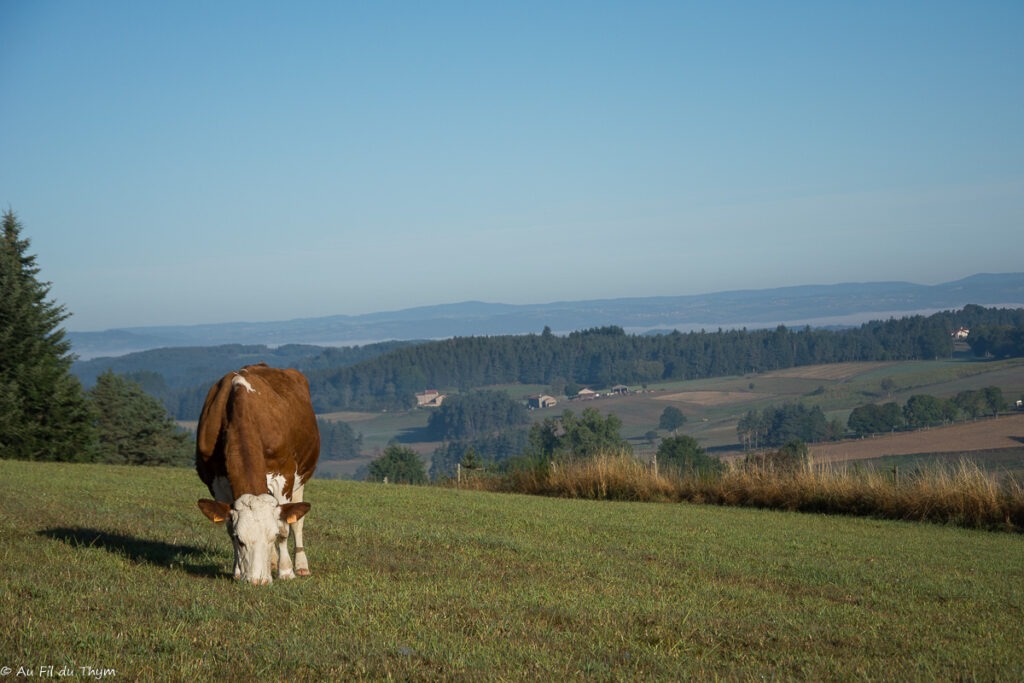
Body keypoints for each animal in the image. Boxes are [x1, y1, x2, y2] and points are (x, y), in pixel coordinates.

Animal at [192, 366, 317, 585]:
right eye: (240, 540)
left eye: (271, 537)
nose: (258, 581)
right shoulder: (217, 482)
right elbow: (228, 527)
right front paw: (238, 571)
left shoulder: (284, 476)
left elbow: (284, 527)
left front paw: (286, 571)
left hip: (300, 478)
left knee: (297, 522)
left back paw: (301, 566)